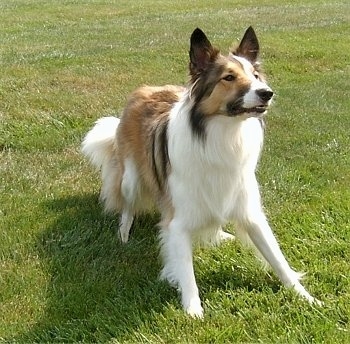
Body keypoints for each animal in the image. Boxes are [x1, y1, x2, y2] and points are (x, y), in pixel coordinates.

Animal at [82, 26, 320, 318]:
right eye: (229, 77)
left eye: (255, 75)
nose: (267, 92)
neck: (223, 135)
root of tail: (144, 89)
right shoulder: (178, 220)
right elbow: (186, 268)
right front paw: (193, 310)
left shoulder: (249, 211)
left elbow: (277, 258)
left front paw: (306, 297)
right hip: (131, 178)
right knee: (127, 205)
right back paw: (124, 233)